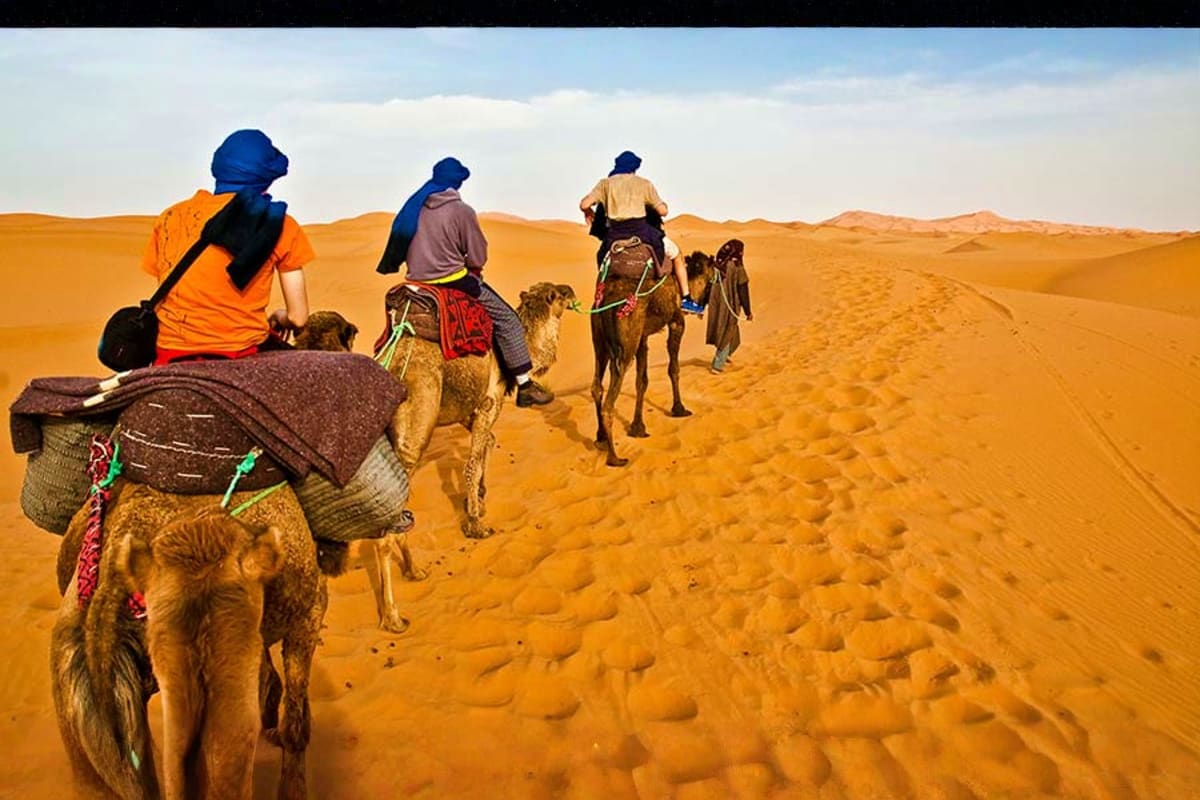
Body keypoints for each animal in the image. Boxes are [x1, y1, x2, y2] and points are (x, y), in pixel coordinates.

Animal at [373, 281, 576, 633]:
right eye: (558, 295)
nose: (572, 289)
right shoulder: (487, 404)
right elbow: (471, 463)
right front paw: (476, 524)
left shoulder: (473, 411)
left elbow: (487, 446)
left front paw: (480, 499)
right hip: (415, 428)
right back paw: (393, 617)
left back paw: (415, 570)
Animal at [591, 249, 716, 466]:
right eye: (713, 276)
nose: (702, 305)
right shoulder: (676, 322)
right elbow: (673, 369)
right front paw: (679, 409)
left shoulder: (642, 337)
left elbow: (642, 381)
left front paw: (638, 427)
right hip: (624, 347)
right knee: (609, 403)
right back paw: (614, 457)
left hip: (599, 341)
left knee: (597, 386)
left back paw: (601, 436)